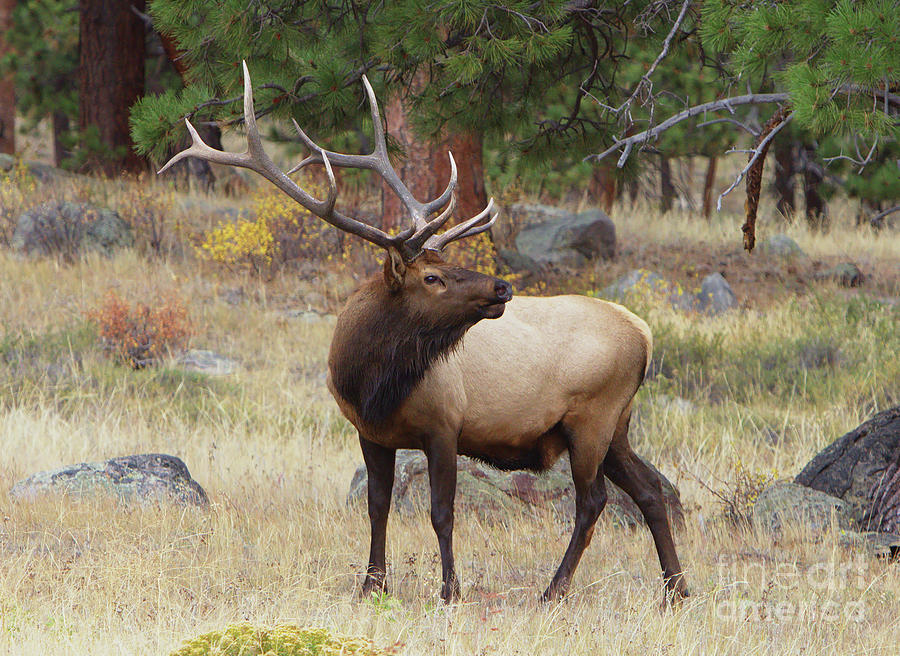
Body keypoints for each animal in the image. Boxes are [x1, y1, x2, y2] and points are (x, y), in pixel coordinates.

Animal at [160, 61, 688, 604]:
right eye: (433, 275)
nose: (502, 286)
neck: (370, 383)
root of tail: (644, 333)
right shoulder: (370, 433)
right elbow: (377, 506)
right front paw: (371, 584)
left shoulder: (445, 425)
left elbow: (441, 513)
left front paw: (450, 589)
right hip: (616, 423)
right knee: (649, 489)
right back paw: (675, 589)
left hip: (593, 416)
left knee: (593, 500)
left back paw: (553, 590)